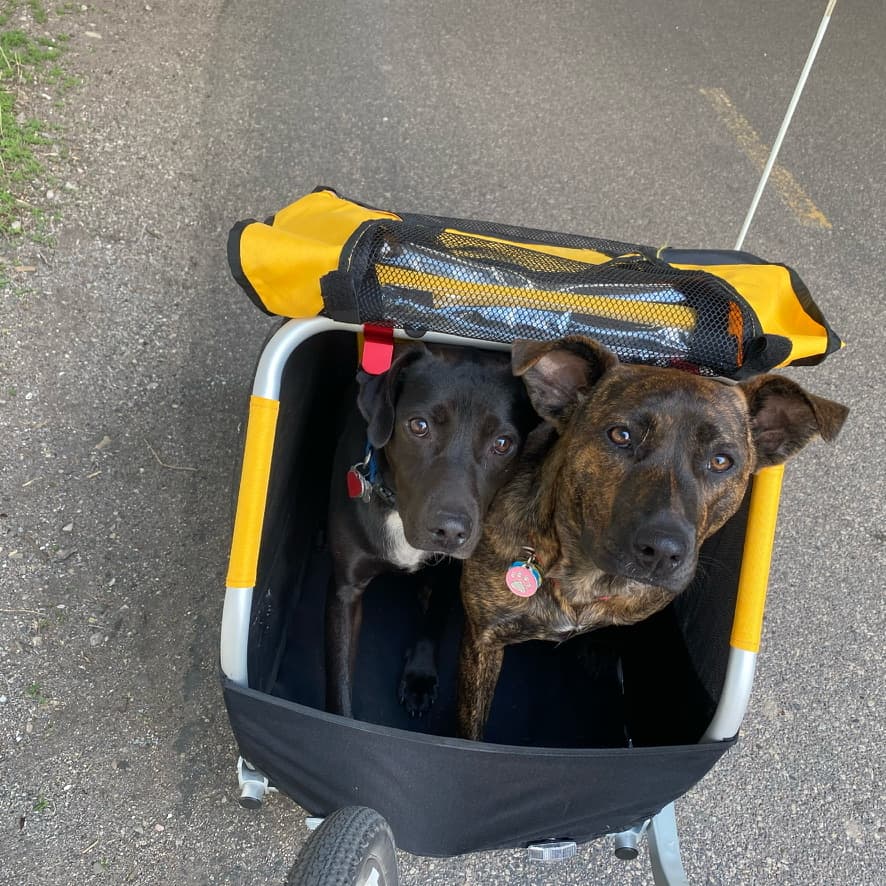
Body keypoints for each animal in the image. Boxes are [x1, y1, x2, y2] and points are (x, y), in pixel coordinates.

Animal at [324, 344, 536, 720]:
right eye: (419, 426)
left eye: (502, 443)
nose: (450, 532)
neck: (396, 507)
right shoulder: (345, 591)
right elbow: (340, 682)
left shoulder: (450, 574)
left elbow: (433, 619)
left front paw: (419, 676)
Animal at [458, 336, 852, 740]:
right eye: (621, 436)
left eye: (721, 461)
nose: (662, 550)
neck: (581, 582)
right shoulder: (482, 639)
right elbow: (472, 726)